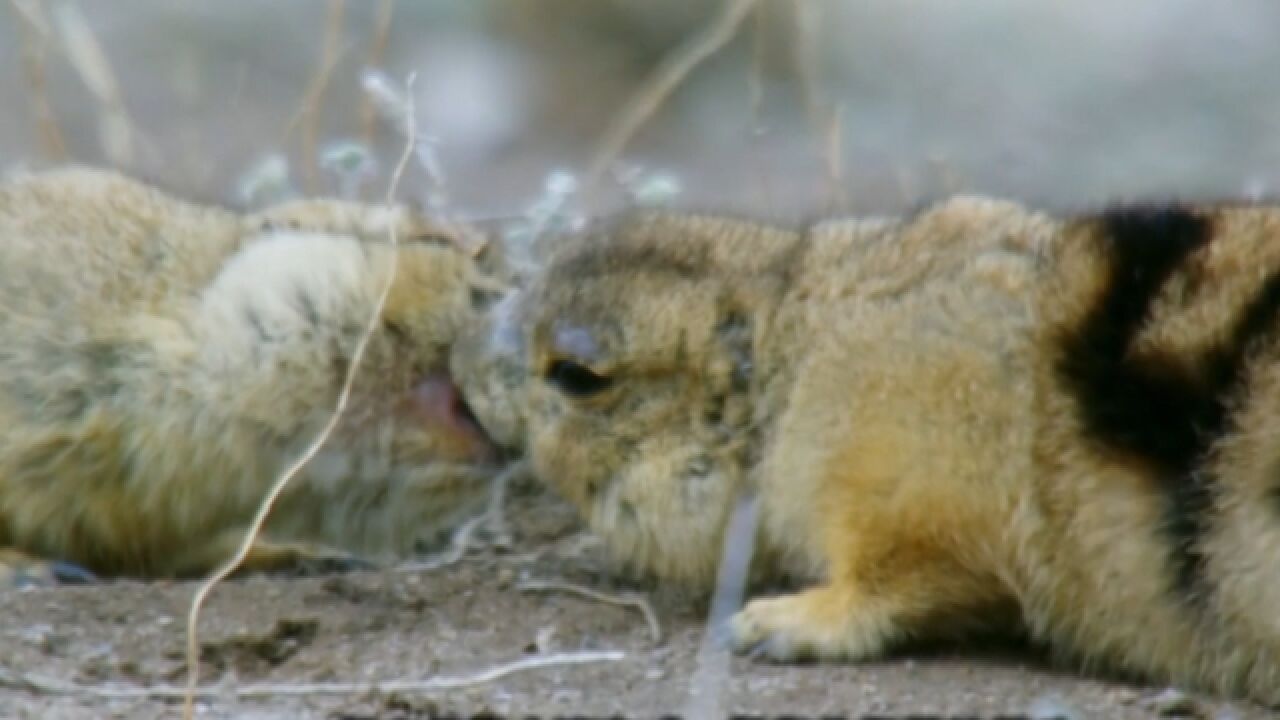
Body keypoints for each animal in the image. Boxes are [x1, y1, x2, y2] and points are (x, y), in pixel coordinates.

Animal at [453, 197, 1280, 702]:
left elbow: (908, 564)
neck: (797, 345)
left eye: (576, 374)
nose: (456, 359)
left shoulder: (895, 453)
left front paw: (780, 621)